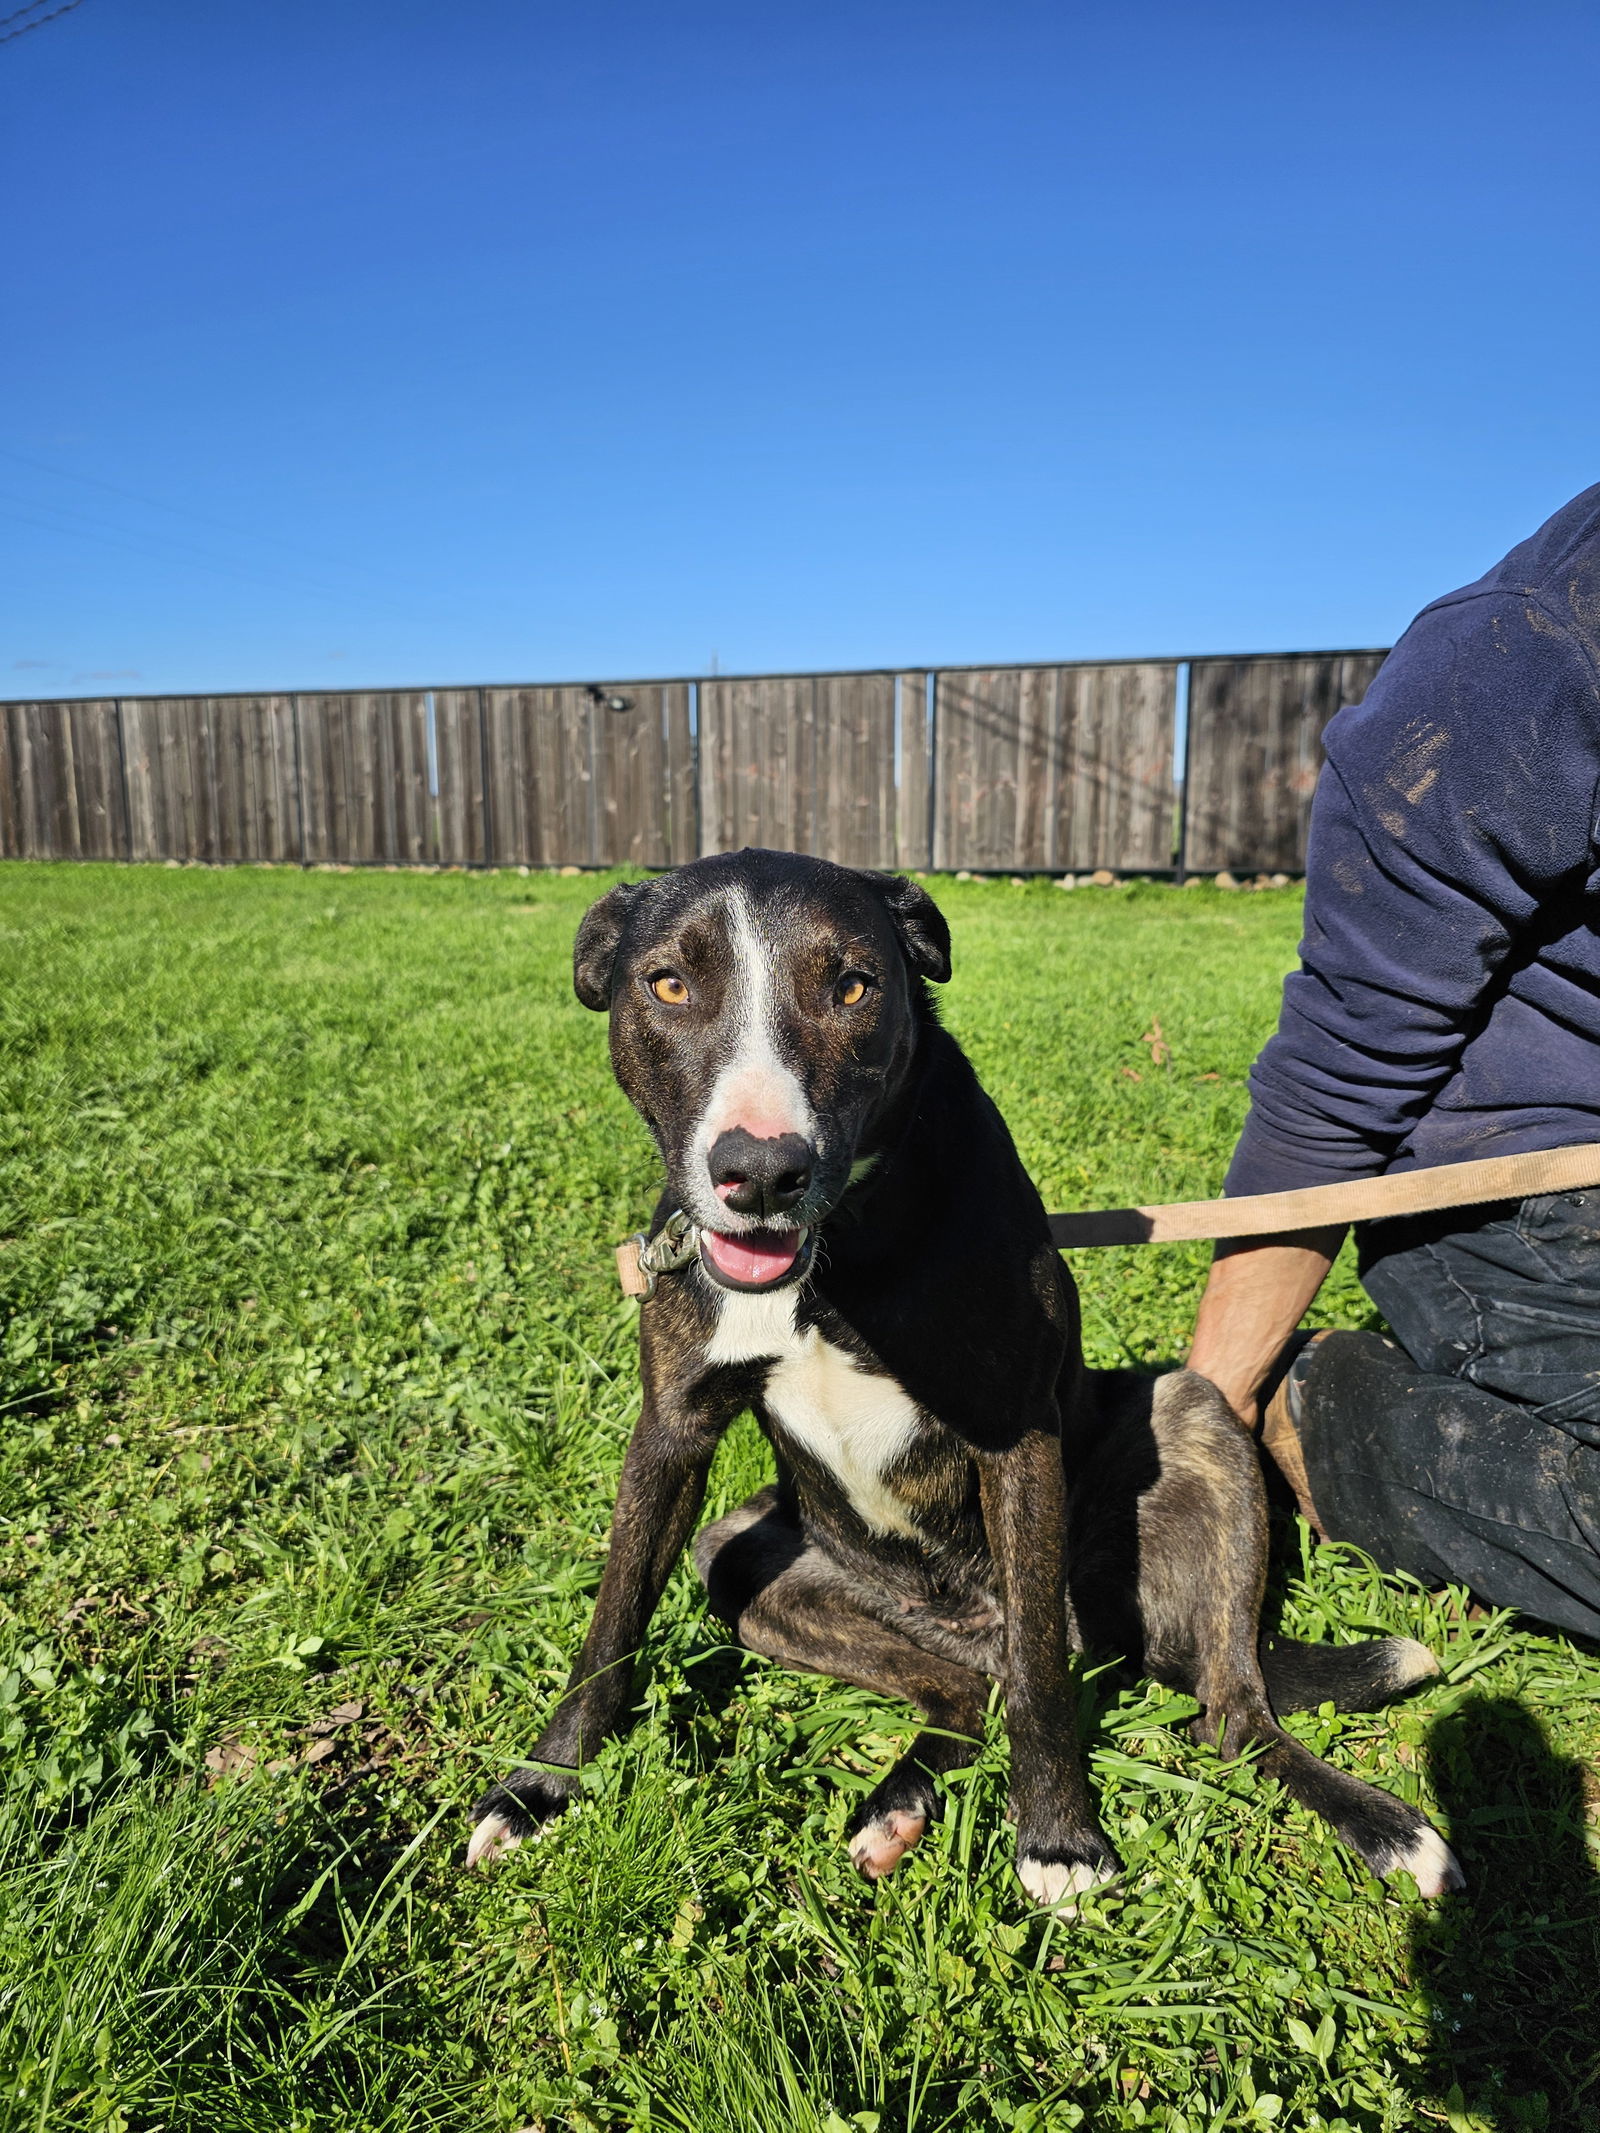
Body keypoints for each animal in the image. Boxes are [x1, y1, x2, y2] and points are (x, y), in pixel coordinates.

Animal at [467, 844, 1467, 1902]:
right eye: (668, 983)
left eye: (854, 985)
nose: (762, 1171)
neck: (836, 1266)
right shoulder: (671, 1432)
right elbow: (610, 1623)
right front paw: (541, 1784)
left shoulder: (1013, 1439)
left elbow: (1039, 1678)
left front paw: (1061, 1836)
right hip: (745, 1557)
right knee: (964, 1689)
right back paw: (897, 1806)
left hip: (1190, 1425)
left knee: (1210, 1710)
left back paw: (1384, 1825)